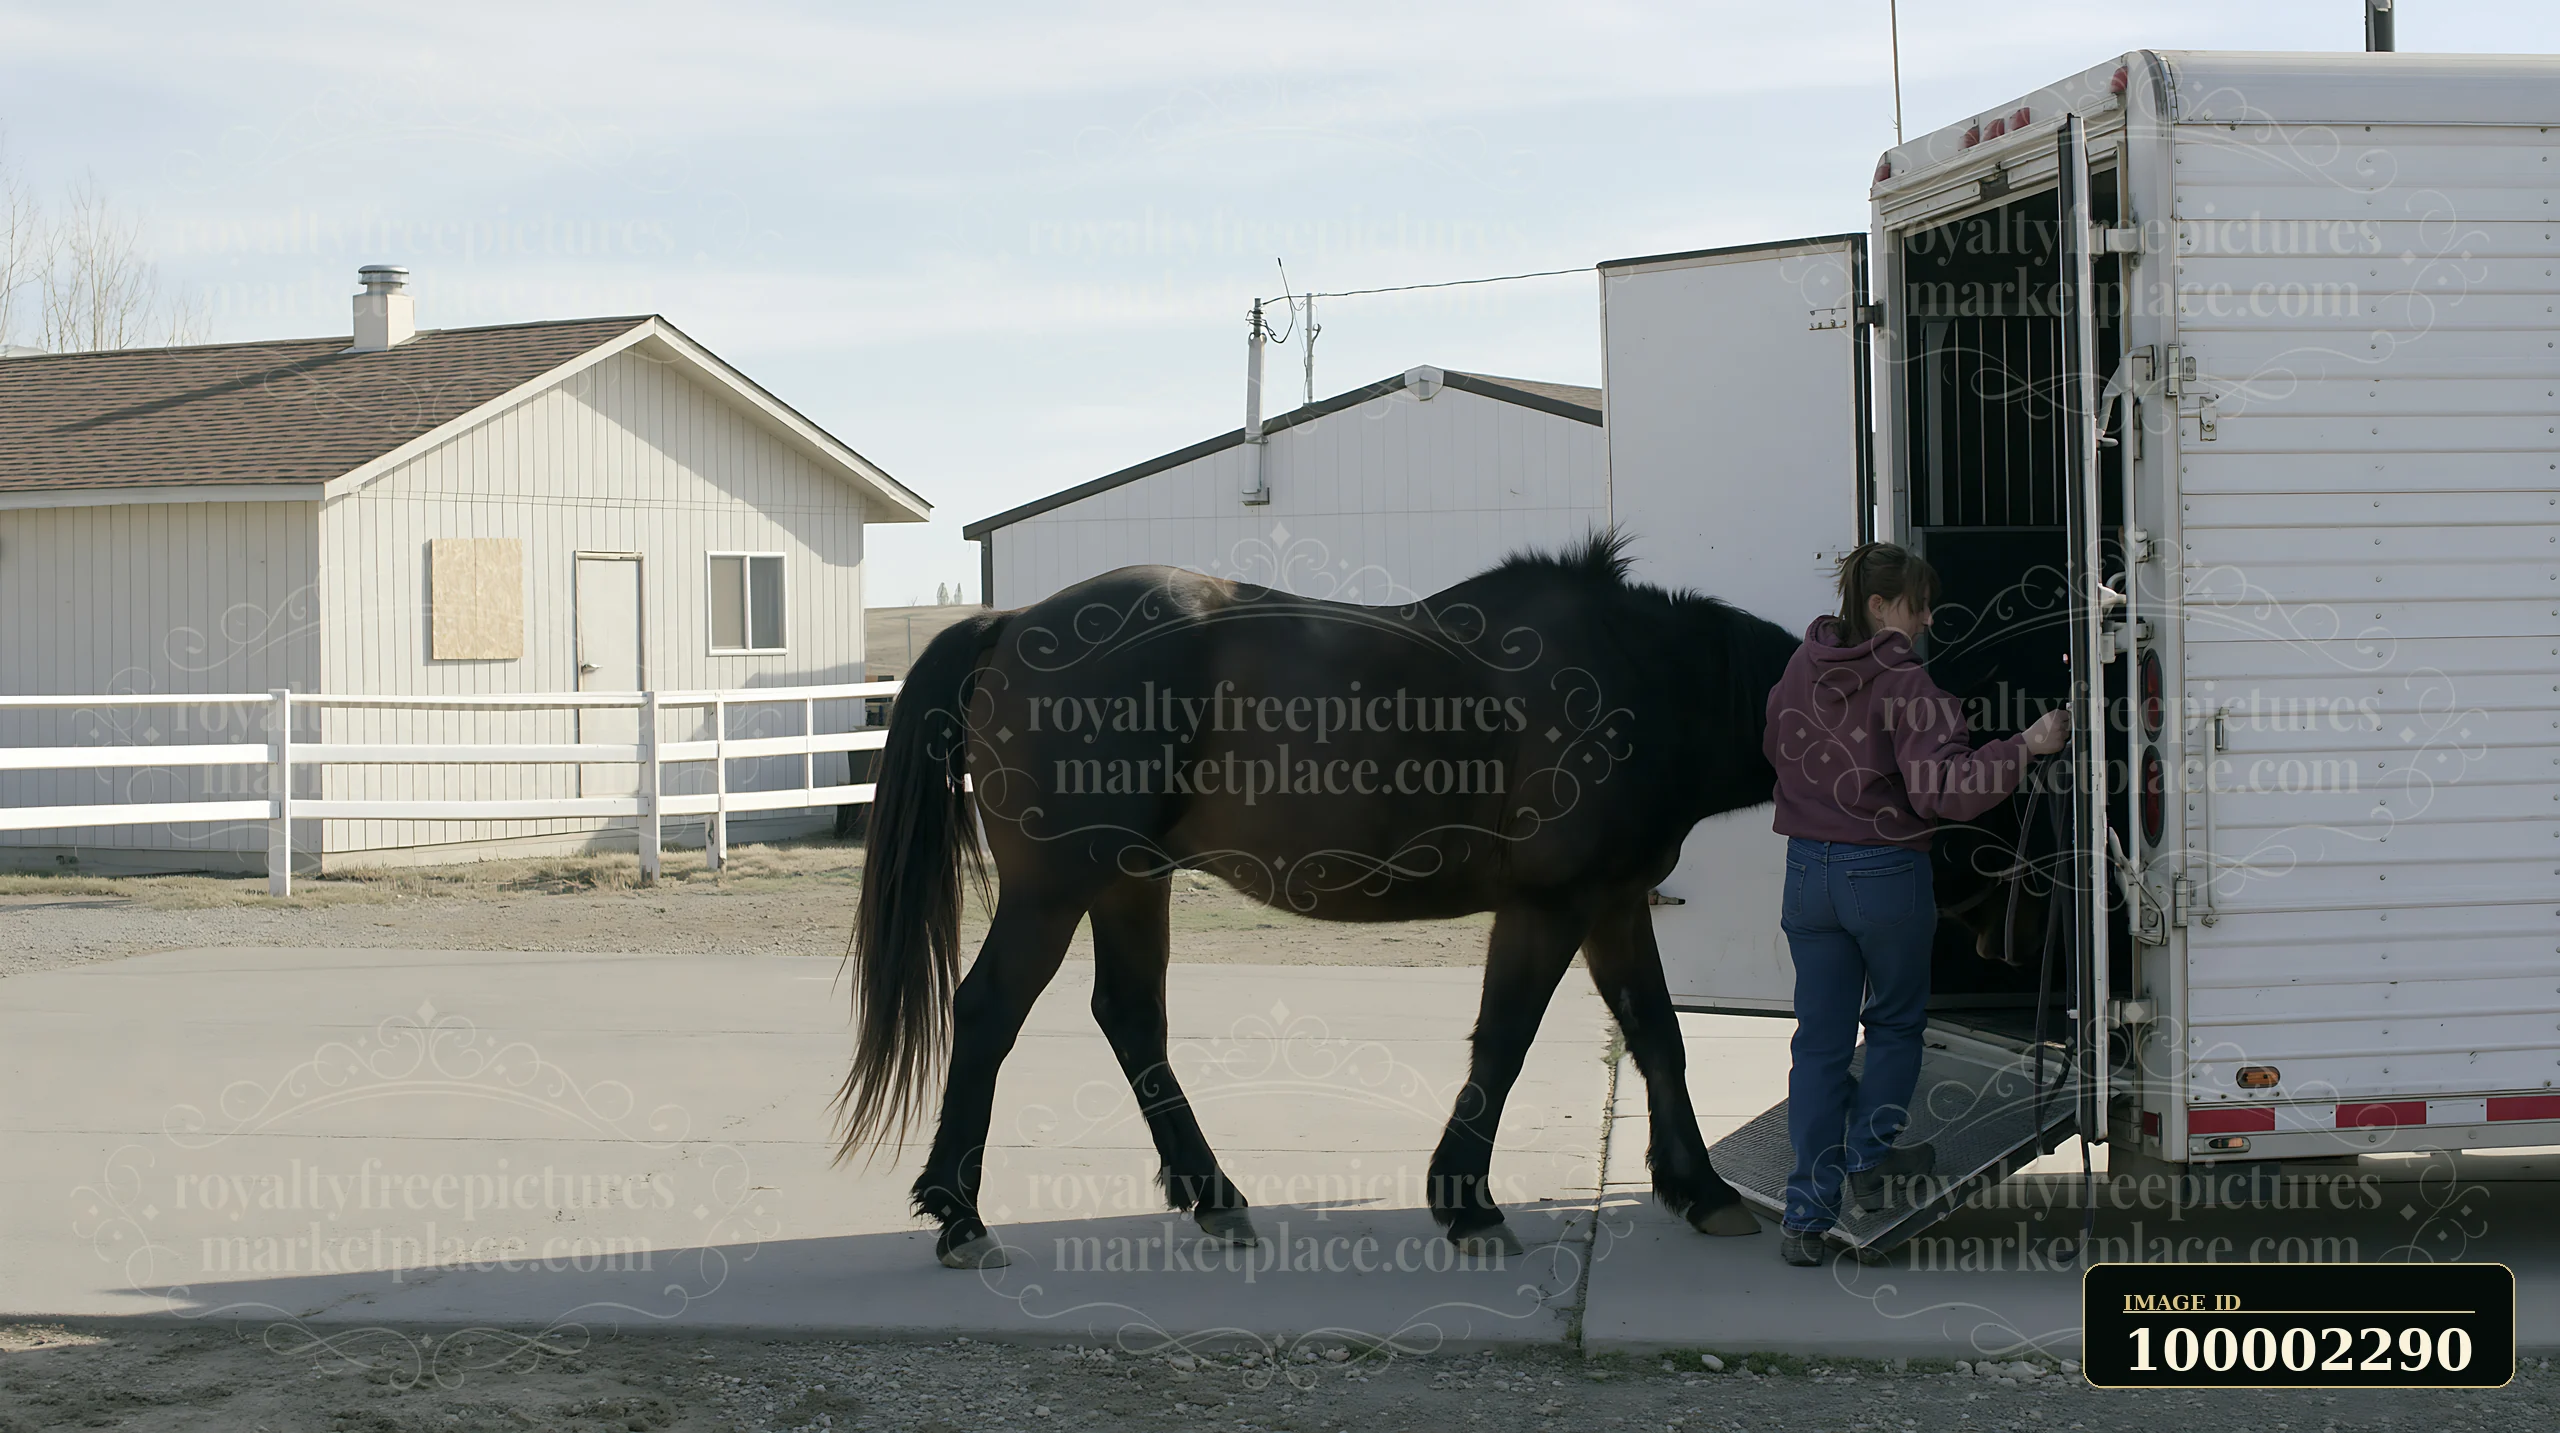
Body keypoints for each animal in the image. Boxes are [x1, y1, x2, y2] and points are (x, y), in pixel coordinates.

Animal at [833, 533, 1807, 1268]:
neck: (1636, 676)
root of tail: (1012, 625)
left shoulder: (1614, 903)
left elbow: (1658, 1035)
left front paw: (1701, 1189)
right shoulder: (1550, 904)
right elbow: (1506, 1040)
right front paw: (1469, 1203)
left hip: (1129, 880)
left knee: (1131, 1016)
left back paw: (1213, 1196)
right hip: (1054, 890)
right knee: (988, 1010)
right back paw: (961, 1215)